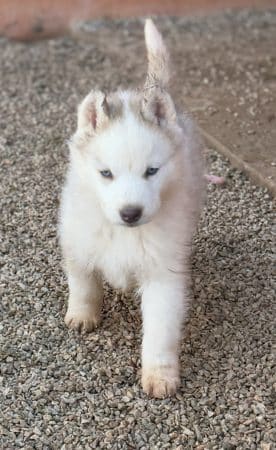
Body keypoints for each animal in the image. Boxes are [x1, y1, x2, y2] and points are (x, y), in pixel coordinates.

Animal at [58, 19, 205, 398]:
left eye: (151, 171)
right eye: (105, 173)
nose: (130, 213)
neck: (123, 232)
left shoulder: (163, 275)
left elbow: (160, 330)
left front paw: (160, 374)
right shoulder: (78, 242)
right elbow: (84, 285)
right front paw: (83, 314)